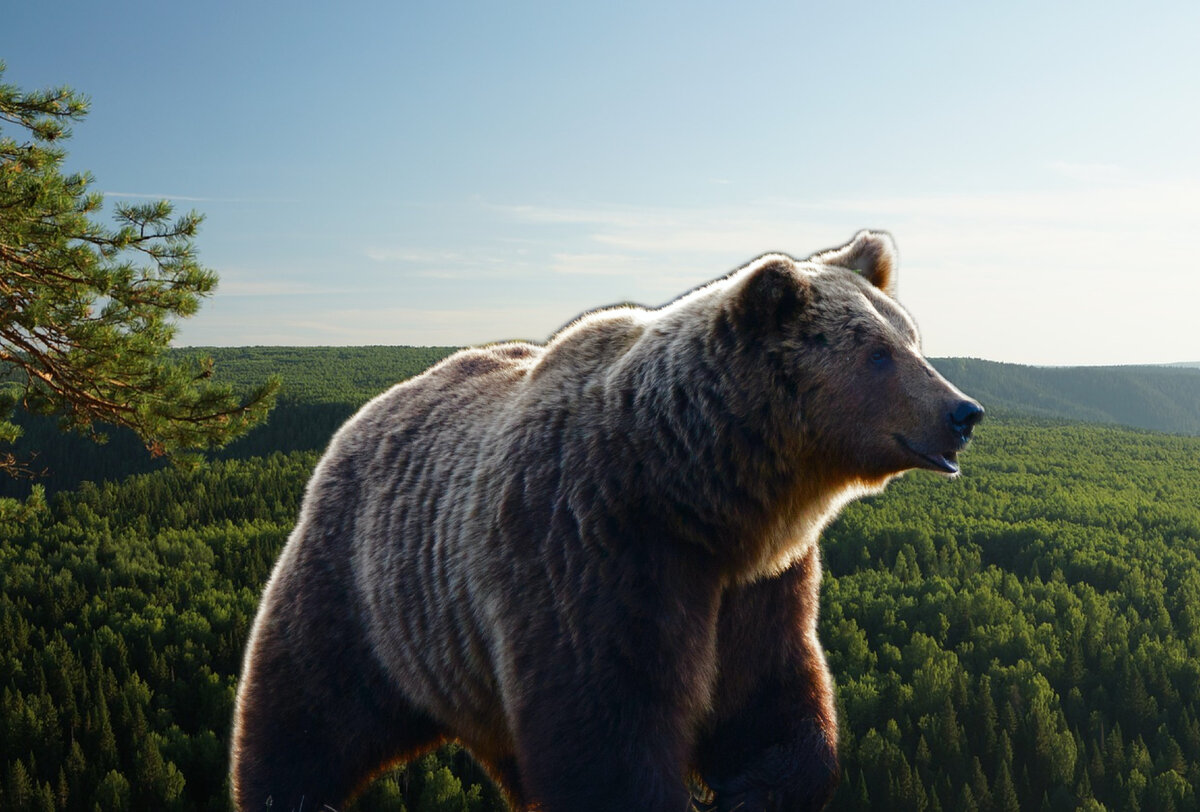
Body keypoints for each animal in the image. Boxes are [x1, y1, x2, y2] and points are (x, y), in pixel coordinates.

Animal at [226, 227, 984, 810]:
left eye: (913, 338)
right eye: (878, 353)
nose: (963, 412)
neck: (698, 494)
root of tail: (363, 416)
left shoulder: (759, 584)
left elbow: (769, 696)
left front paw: (751, 789)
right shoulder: (592, 552)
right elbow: (607, 730)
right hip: (364, 589)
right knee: (302, 717)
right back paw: (285, 789)